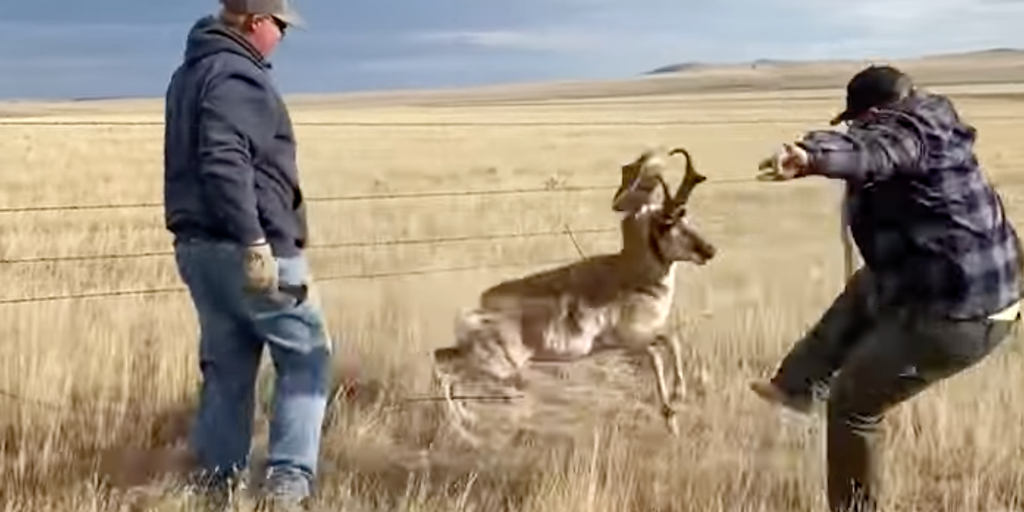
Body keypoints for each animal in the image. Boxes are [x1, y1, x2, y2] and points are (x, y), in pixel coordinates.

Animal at [431, 147, 716, 443]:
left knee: (440, 359)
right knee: (447, 373)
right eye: (668, 223)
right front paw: (675, 399)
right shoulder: (633, 340)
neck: (631, 273)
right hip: (496, 367)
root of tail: (474, 312)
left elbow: (666, 347)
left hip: (479, 359)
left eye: (687, 218)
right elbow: (665, 347)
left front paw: (674, 406)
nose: (710, 250)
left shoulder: (636, 341)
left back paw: (465, 423)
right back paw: (465, 427)